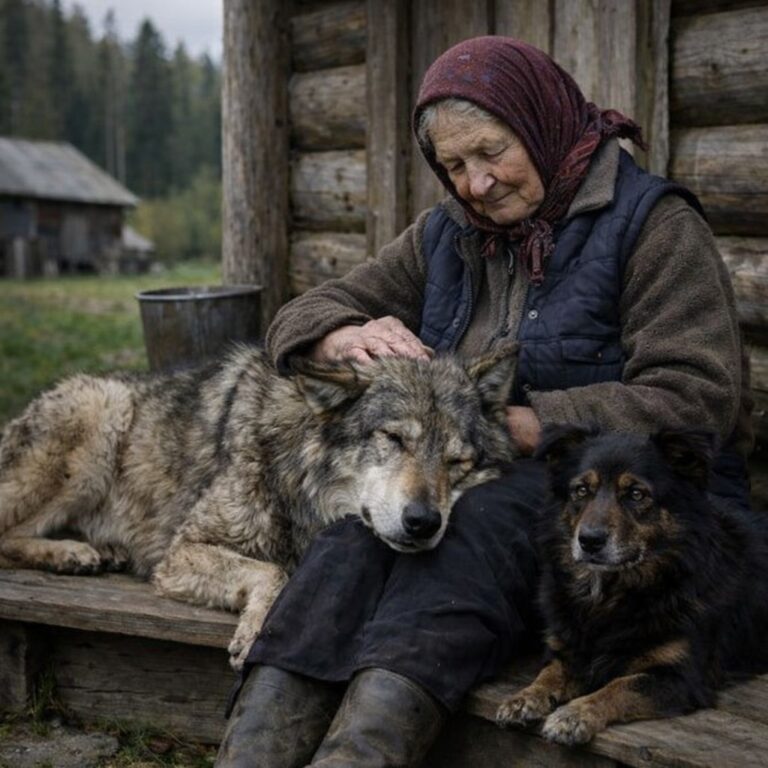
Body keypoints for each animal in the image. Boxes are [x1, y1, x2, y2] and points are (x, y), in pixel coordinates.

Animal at [0, 345, 517, 667]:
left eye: (457, 462)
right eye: (393, 439)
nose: (423, 522)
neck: (294, 472)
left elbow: (274, 569)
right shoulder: (181, 551)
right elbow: (273, 571)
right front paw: (255, 633)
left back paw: (96, 551)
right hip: (100, 416)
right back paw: (69, 554)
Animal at [496, 425, 768, 745]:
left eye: (636, 494)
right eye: (581, 490)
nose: (589, 541)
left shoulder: (680, 677)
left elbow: (619, 687)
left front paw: (574, 714)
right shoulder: (570, 650)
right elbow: (549, 673)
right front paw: (525, 697)